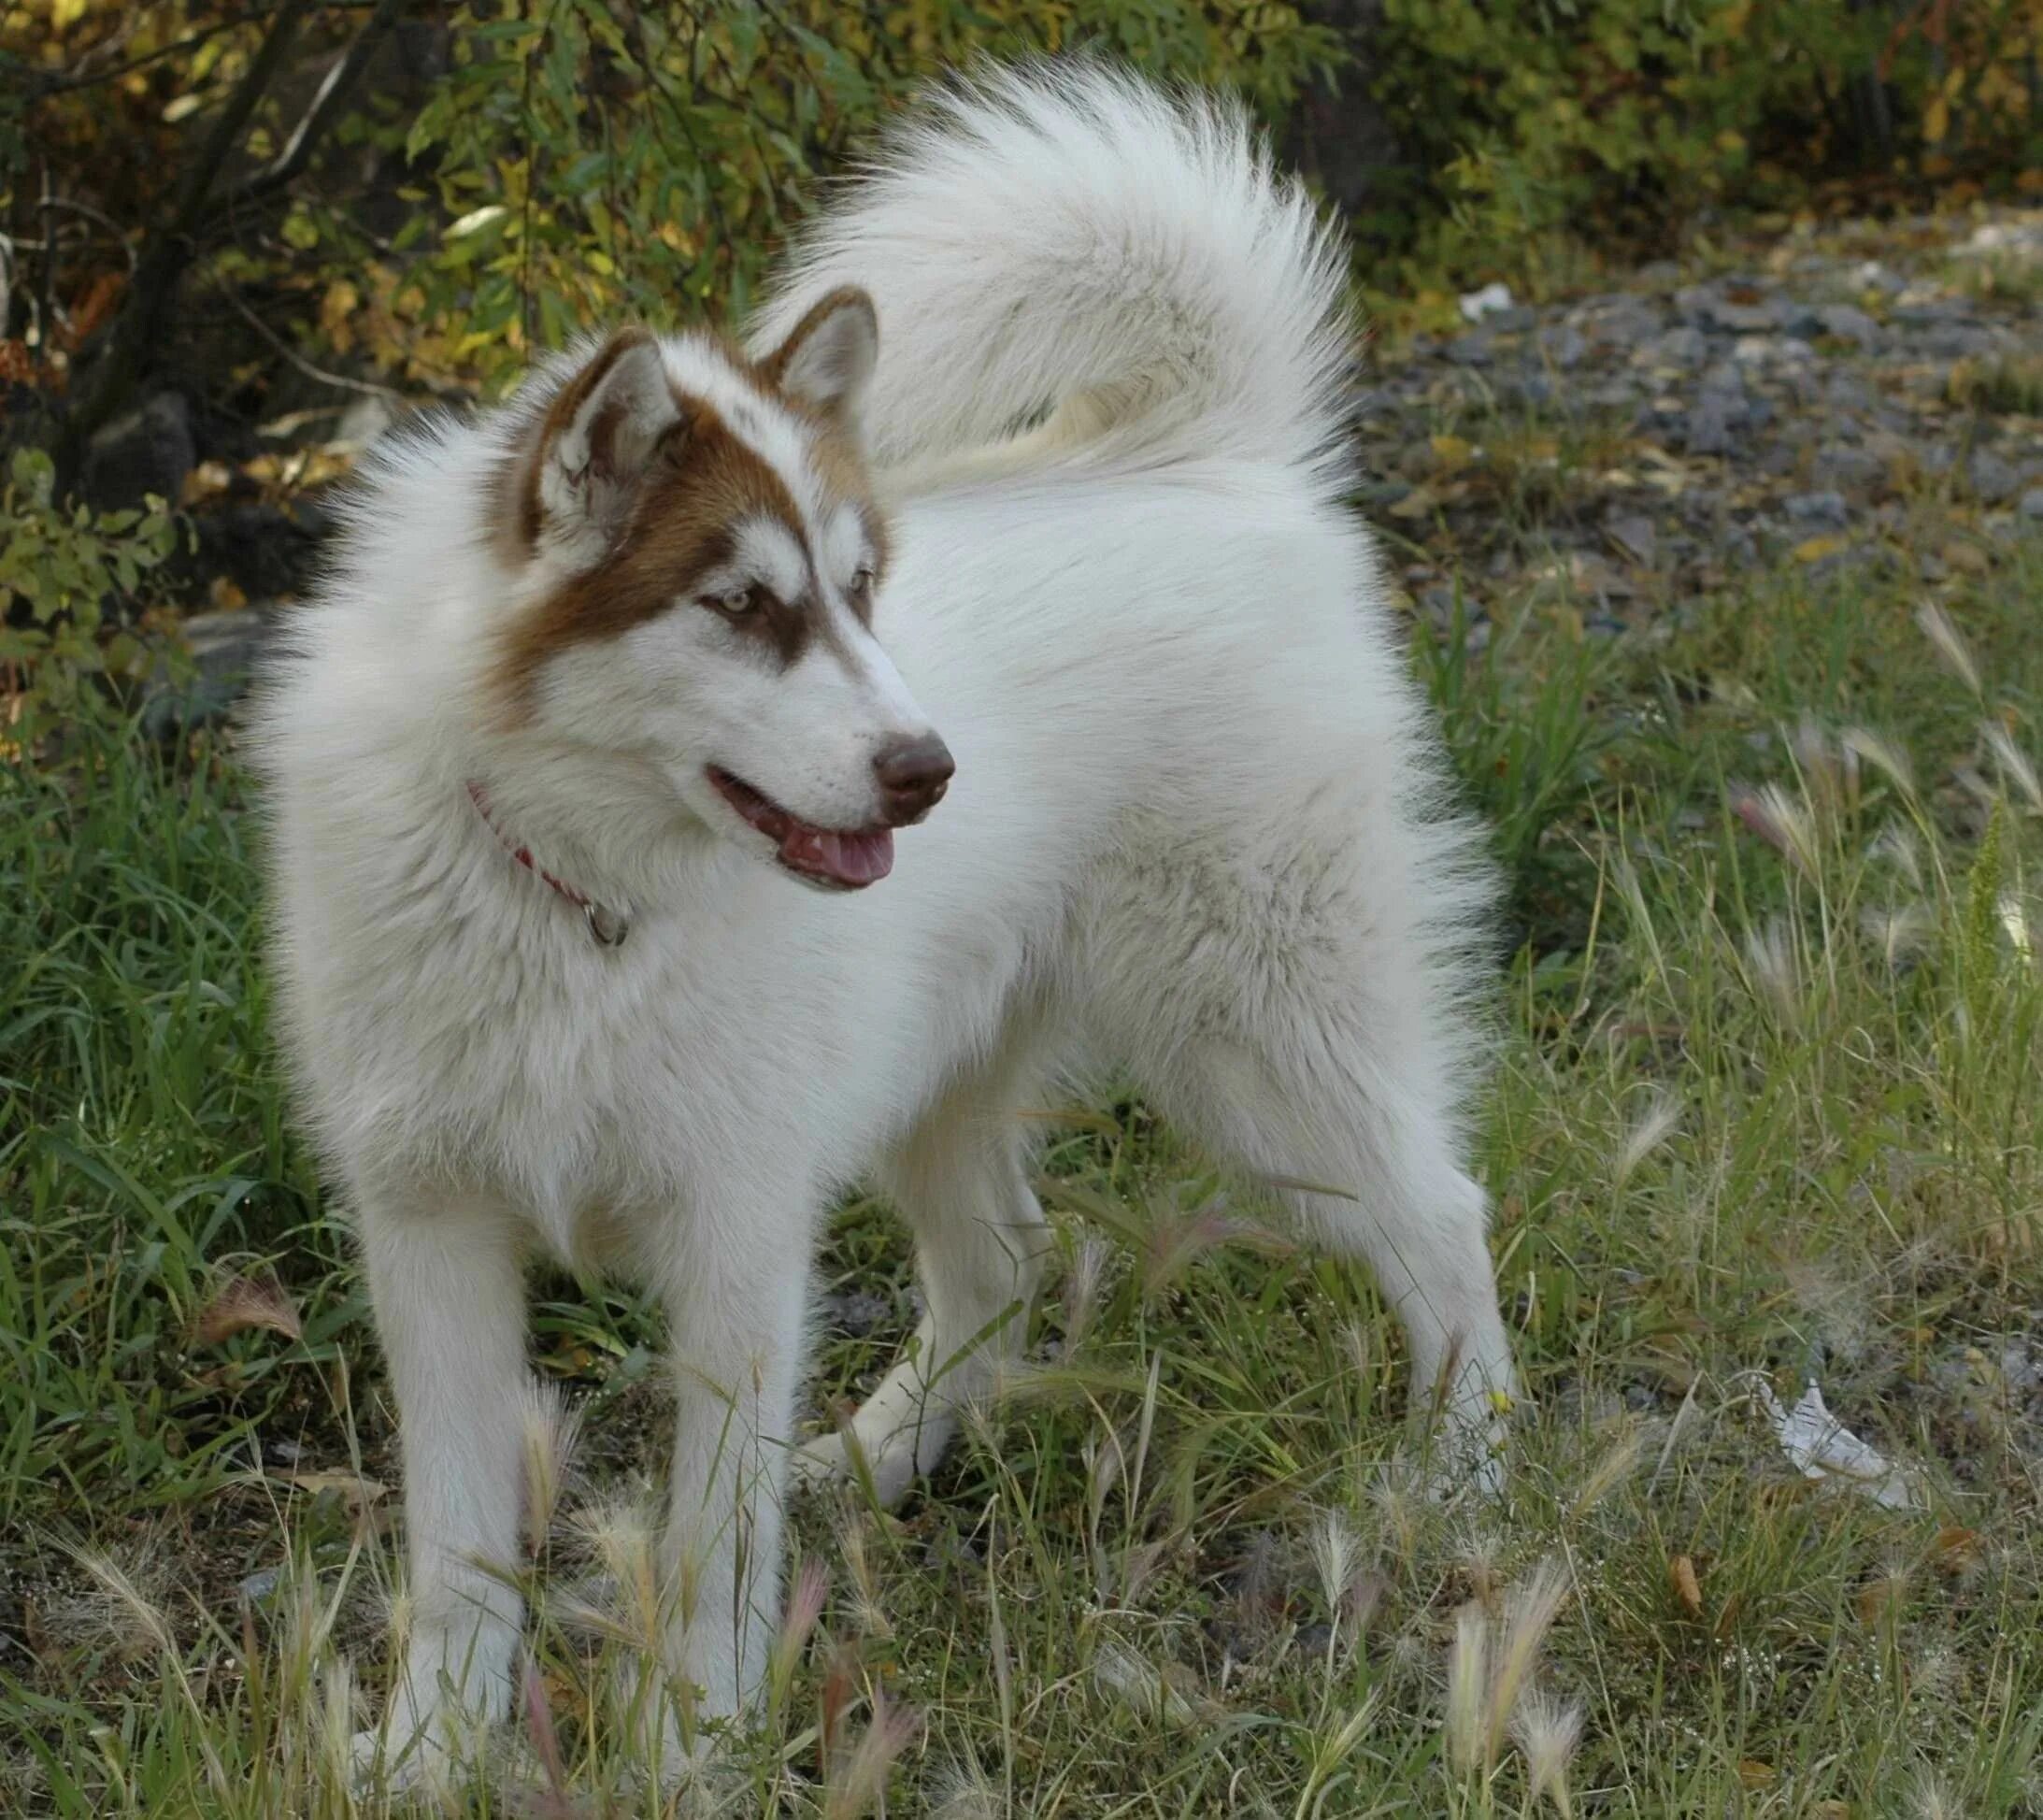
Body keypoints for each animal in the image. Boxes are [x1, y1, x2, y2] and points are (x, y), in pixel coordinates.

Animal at [255, 67, 1520, 1781]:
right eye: (740, 605)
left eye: (862, 590)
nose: (927, 772)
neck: (575, 893)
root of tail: (1204, 454)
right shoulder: (433, 1230)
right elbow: (459, 1552)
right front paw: (430, 1752)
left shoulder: (732, 1234)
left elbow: (708, 1543)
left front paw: (695, 1751)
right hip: (953, 1079)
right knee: (1002, 1266)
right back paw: (864, 1460)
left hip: (1264, 1050)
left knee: (1439, 1219)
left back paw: (1468, 1489)